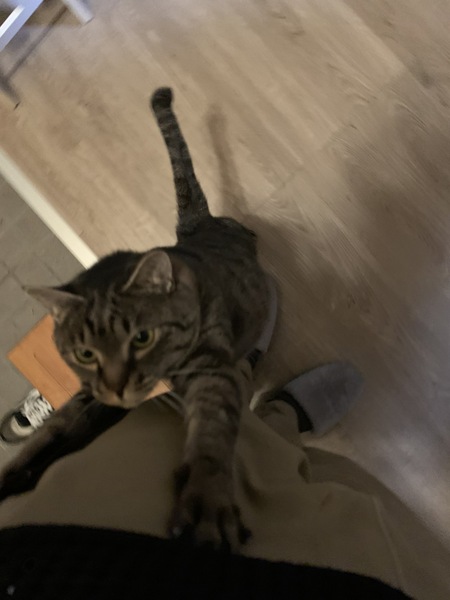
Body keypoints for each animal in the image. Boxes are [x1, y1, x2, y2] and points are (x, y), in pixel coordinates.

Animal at [0, 88, 269, 551]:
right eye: (85, 354)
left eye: (143, 338)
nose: (117, 388)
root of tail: (195, 225)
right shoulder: (87, 392)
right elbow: (55, 426)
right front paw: (17, 470)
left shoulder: (211, 368)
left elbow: (212, 430)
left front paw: (207, 499)